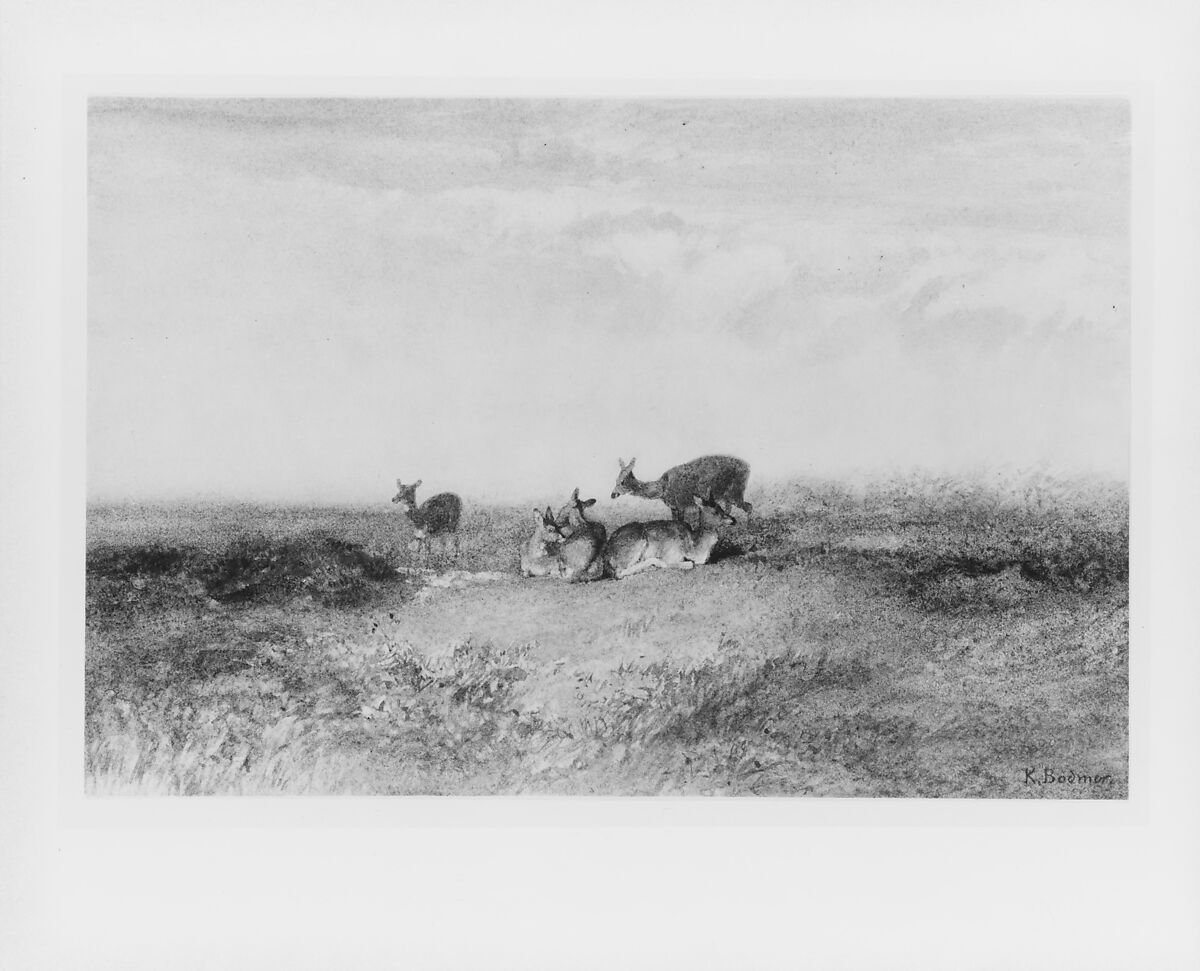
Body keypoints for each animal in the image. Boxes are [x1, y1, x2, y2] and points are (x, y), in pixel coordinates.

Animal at [603, 495, 731, 580]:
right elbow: (688, 564)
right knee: (619, 573)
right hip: (636, 545)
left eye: (721, 507)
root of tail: (607, 556)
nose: (733, 520)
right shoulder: (672, 555)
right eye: (715, 511)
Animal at [610, 455, 752, 524]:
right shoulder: (675, 508)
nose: (613, 494)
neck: (663, 487)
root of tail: (747, 466)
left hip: (734, 493)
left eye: (622, 482)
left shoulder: (689, 505)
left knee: (748, 507)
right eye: (615, 480)